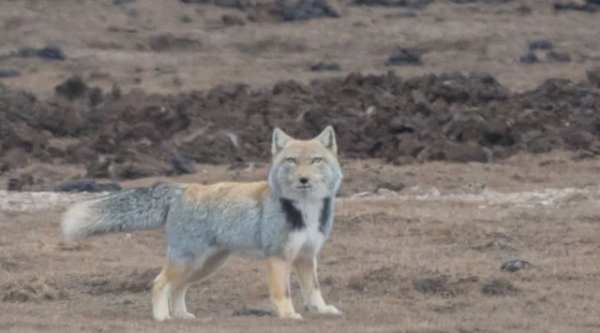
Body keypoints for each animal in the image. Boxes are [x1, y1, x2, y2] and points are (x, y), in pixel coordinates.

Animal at [61, 126, 344, 320]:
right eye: (292, 161)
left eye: (316, 161)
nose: (304, 179)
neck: (305, 210)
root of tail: (186, 188)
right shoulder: (277, 256)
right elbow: (282, 292)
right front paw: (288, 314)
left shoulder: (306, 256)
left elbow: (314, 289)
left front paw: (322, 309)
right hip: (188, 261)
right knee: (160, 283)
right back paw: (162, 317)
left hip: (204, 265)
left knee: (177, 288)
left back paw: (181, 316)